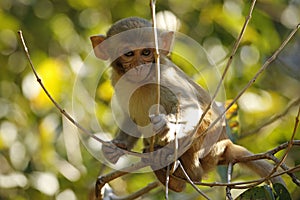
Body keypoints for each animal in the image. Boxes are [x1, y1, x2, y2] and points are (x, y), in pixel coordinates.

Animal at [89, 17, 284, 192]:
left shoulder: (165, 75)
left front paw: (167, 125)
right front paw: (117, 146)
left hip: (209, 146)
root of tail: (226, 143)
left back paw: (183, 170)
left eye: (146, 52)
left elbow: (190, 106)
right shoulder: (117, 80)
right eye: (129, 54)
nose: (140, 67)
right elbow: (129, 117)